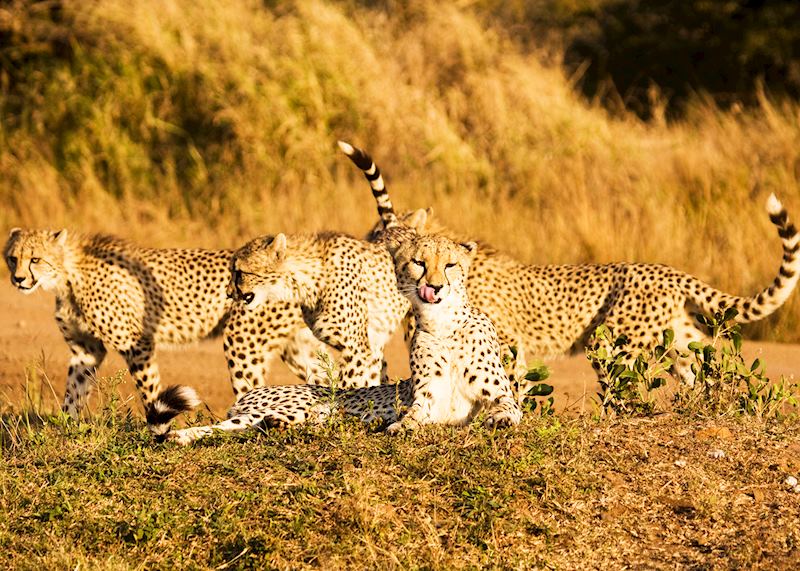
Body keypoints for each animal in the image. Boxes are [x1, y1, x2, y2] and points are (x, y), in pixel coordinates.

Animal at [158, 230, 520, 444]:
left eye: (450, 265)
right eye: (419, 263)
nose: (435, 286)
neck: (445, 325)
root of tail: (251, 395)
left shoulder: (499, 396)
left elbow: (508, 408)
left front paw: (500, 420)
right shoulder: (425, 402)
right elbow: (413, 416)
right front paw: (400, 426)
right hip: (295, 405)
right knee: (228, 426)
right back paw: (182, 436)